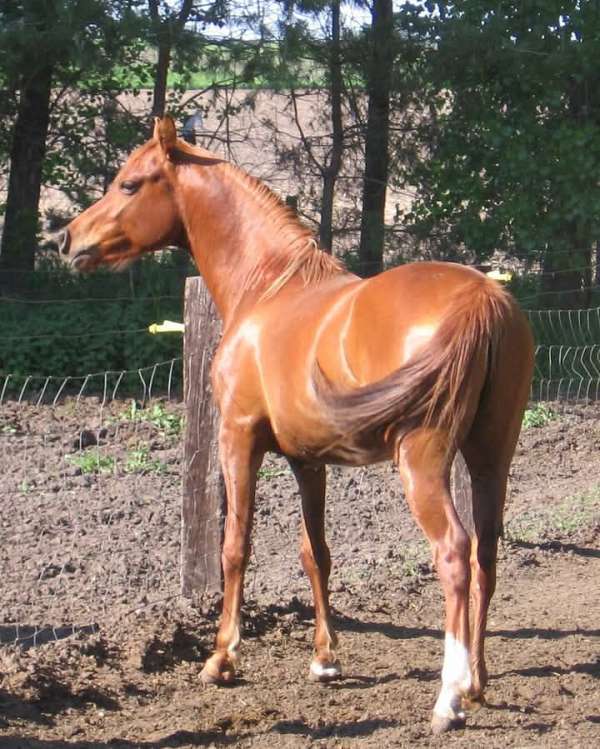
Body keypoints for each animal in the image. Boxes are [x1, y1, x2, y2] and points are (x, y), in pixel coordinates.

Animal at [63, 117, 536, 732]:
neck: (269, 287)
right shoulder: (309, 460)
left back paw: (449, 698)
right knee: (486, 554)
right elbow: (316, 551)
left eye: (129, 184)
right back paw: (477, 684)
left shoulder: (238, 438)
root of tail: (481, 295)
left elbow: (235, 547)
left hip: (424, 463)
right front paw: (325, 659)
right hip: (489, 458)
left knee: (454, 553)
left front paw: (221, 658)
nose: (67, 240)